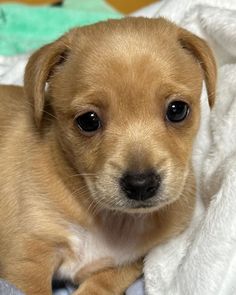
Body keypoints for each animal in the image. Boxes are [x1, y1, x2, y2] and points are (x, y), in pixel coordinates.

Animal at [0, 17, 216, 294]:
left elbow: (104, 282)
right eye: (88, 121)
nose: (141, 184)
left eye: (177, 110)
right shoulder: (27, 256)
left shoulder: (131, 260)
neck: (112, 220)